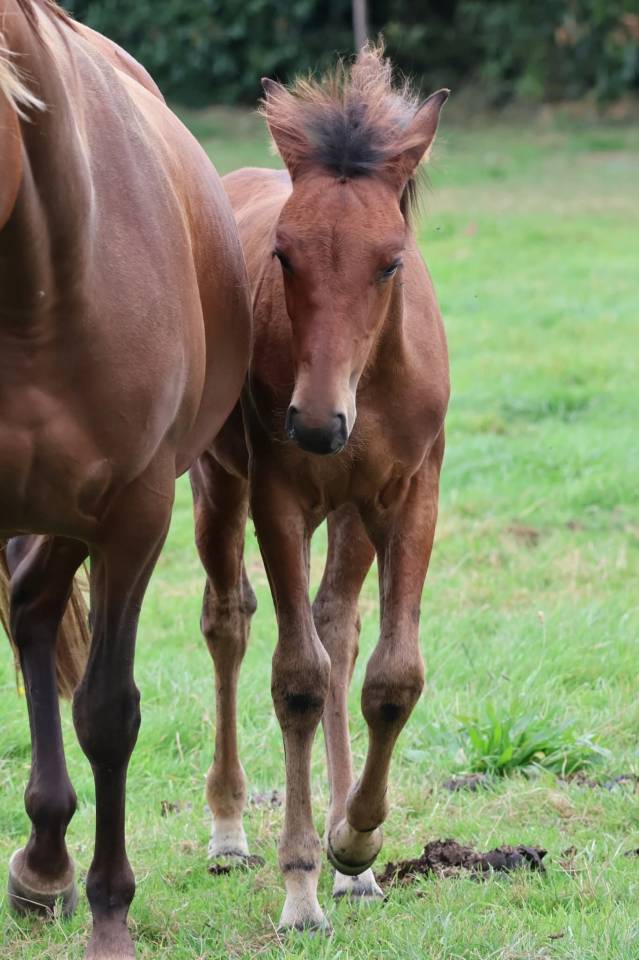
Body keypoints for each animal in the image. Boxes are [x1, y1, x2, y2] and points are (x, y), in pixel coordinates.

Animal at [190, 45, 450, 931]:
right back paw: (229, 829)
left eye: (390, 261)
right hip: (219, 488)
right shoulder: (277, 499)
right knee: (228, 622)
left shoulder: (410, 496)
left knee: (338, 627)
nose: (313, 424)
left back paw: (352, 866)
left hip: (353, 516)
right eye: (283, 255)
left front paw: (357, 841)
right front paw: (301, 882)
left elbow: (389, 677)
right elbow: (296, 680)